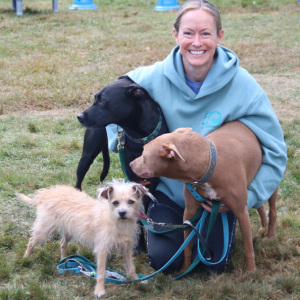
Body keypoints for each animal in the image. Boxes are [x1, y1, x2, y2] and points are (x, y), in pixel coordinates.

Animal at [76, 76, 169, 254]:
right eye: (95, 98)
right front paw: (138, 245)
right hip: (87, 155)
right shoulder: (132, 177)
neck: (141, 136)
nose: (79, 116)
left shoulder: (152, 181)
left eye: (103, 100)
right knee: (79, 179)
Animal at [130, 122, 278, 274]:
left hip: (272, 186)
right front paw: (185, 269)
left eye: (144, 154)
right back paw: (263, 227)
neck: (210, 166)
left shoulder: (241, 211)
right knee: (260, 204)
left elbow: (248, 246)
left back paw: (270, 235)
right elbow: (187, 247)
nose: (130, 164)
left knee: (272, 210)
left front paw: (251, 270)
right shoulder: (189, 212)